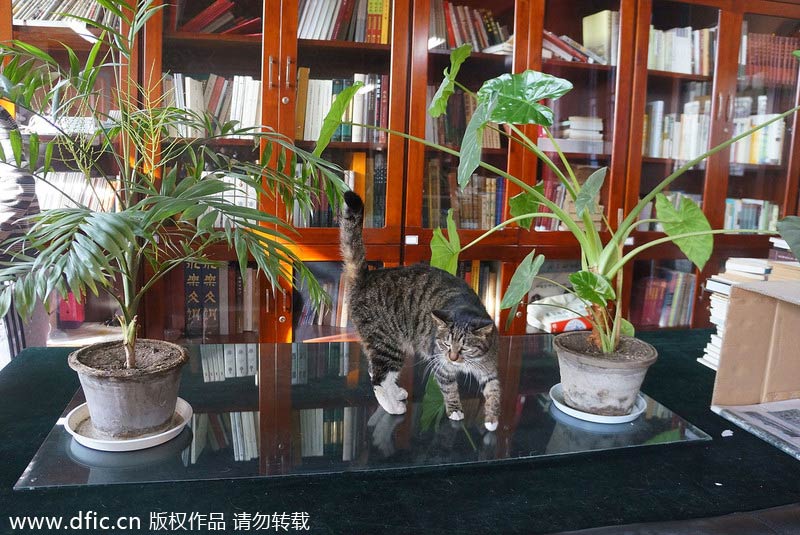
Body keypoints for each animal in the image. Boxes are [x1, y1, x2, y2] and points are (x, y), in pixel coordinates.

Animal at [338, 192, 500, 432]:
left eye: (465, 347)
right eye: (445, 344)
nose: (452, 357)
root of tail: (366, 277)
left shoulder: (489, 368)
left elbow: (494, 391)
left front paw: (492, 420)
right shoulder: (441, 365)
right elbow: (450, 388)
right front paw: (455, 410)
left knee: (377, 371)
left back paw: (396, 393)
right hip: (389, 344)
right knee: (378, 379)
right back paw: (393, 406)